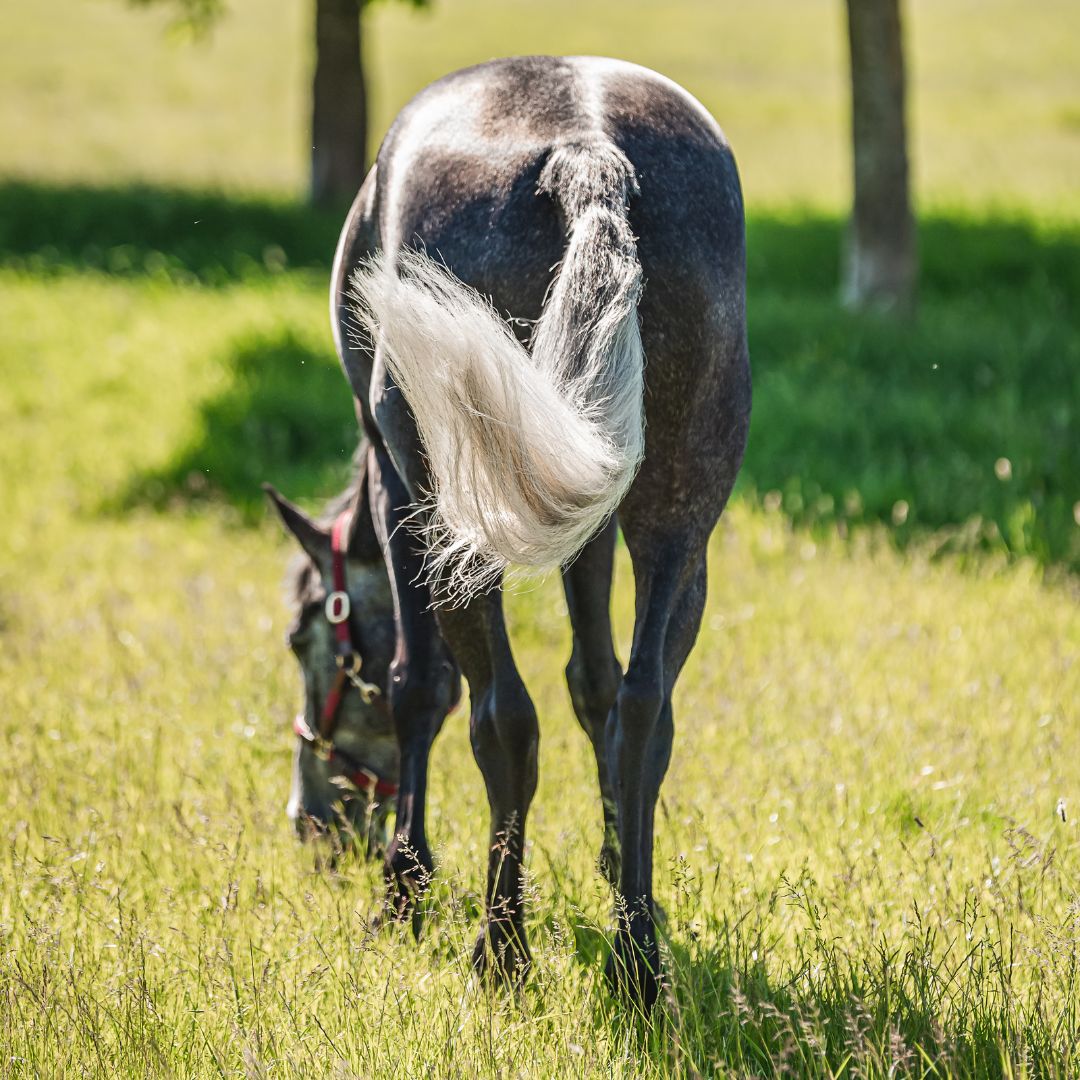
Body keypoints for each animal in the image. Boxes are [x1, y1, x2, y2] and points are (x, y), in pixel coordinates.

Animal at [265, 54, 751, 1006]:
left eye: (306, 637)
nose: (313, 819)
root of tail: (587, 153)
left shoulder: (401, 496)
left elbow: (421, 689)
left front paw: (404, 889)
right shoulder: (584, 506)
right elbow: (594, 683)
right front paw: (617, 863)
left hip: (452, 511)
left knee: (503, 718)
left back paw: (501, 949)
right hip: (680, 515)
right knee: (643, 709)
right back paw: (637, 959)